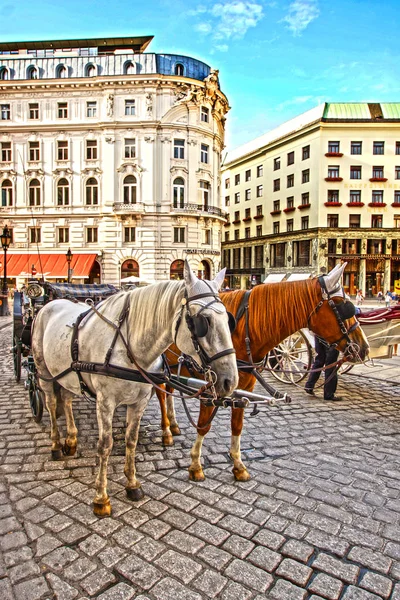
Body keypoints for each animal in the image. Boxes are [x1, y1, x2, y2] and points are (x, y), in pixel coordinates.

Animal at [32, 262, 239, 516]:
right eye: (204, 321)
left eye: (229, 321)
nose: (231, 381)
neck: (130, 348)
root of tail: (50, 303)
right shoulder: (105, 402)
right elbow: (105, 445)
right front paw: (101, 497)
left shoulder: (139, 402)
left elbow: (131, 440)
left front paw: (132, 484)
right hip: (44, 371)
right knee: (52, 404)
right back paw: (55, 445)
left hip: (68, 374)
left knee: (68, 400)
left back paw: (71, 440)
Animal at [156, 262, 368, 482]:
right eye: (343, 305)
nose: (364, 347)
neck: (243, 330)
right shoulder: (209, 389)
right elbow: (204, 425)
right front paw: (196, 465)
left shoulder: (245, 386)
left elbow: (237, 425)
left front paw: (238, 465)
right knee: (161, 395)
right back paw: (166, 431)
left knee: (168, 392)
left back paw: (173, 425)